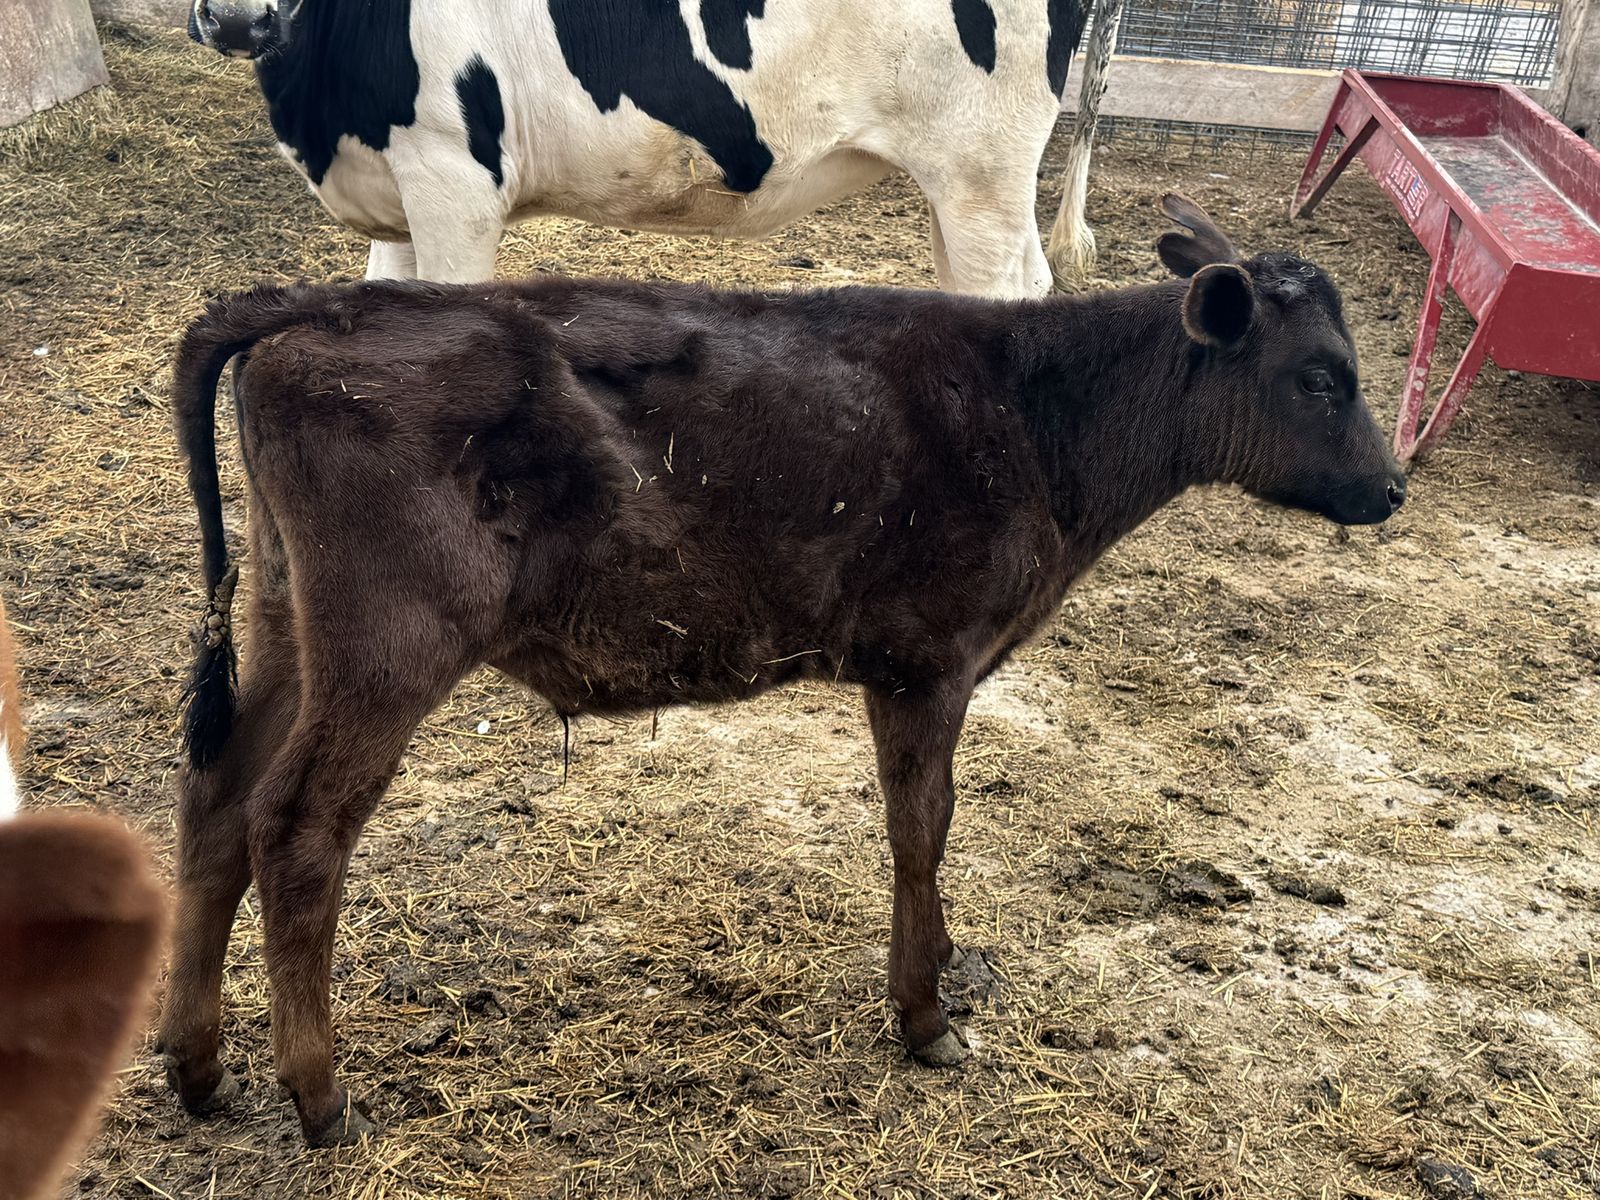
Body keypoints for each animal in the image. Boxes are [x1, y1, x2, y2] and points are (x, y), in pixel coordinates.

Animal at [157, 196, 1406, 1147]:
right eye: (1321, 380)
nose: (1391, 489)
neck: (1038, 416)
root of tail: (322, 304)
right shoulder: (926, 658)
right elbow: (922, 831)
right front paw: (924, 1016)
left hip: (287, 623)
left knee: (216, 797)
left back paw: (196, 1067)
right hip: (391, 639)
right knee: (296, 831)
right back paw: (321, 1097)